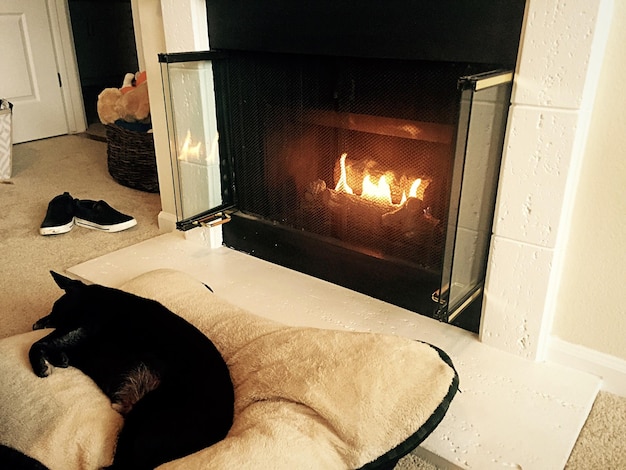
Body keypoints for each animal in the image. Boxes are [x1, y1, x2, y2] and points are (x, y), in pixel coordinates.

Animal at [28, 272, 235, 470]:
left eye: (56, 309)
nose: (35, 324)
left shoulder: (84, 325)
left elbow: (39, 343)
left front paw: (41, 364)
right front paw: (56, 359)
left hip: (148, 412)